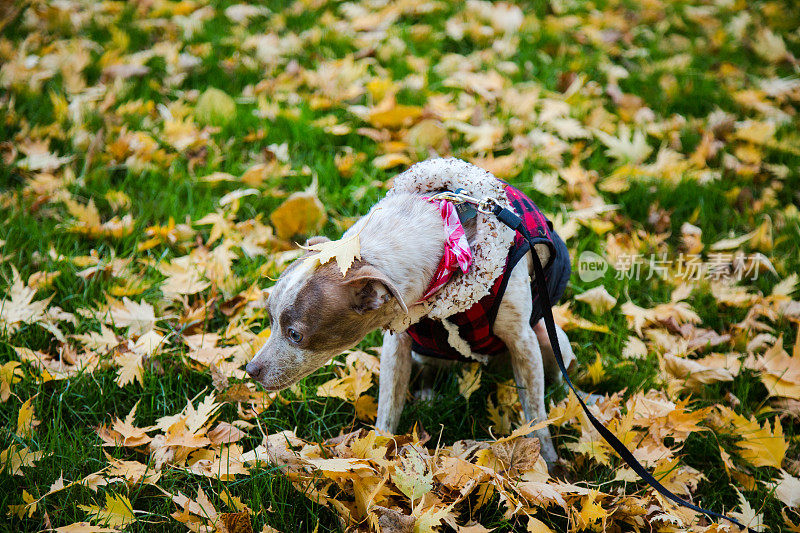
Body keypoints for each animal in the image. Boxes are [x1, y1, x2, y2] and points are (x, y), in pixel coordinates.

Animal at [244, 158, 580, 466]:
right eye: (270, 320)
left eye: (295, 335)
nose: (250, 369)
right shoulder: (398, 343)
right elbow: (388, 407)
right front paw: (376, 455)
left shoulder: (523, 342)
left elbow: (535, 413)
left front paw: (547, 462)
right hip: (424, 352)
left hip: (549, 338)